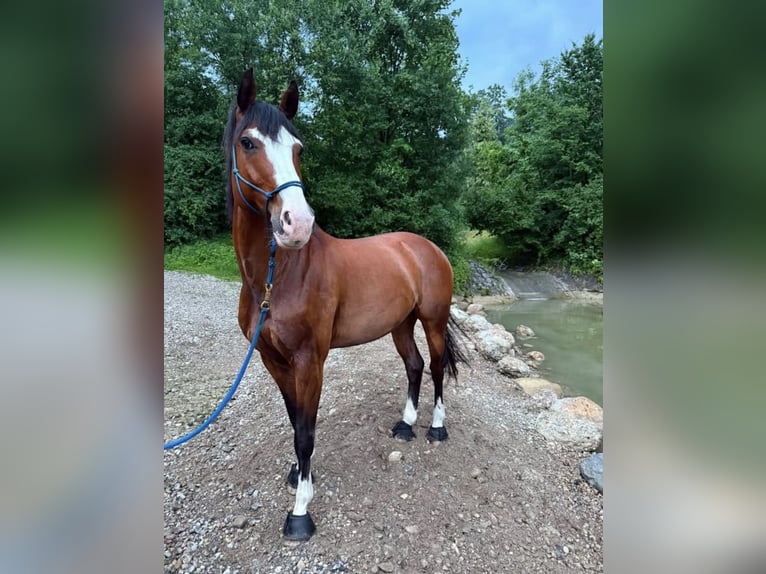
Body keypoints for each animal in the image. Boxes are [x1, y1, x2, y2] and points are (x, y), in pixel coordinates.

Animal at [224, 68, 468, 541]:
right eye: (248, 142)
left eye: (298, 148)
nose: (297, 225)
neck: (278, 277)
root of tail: (428, 247)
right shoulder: (272, 360)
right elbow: (294, 419)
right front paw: (299, 476)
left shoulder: (310, 360)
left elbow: (306, 431)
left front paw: (301, 511)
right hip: (399, 324)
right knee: (413, 366)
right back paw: (405, 426)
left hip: (432, 320)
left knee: (434, 367)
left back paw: (436, 428)